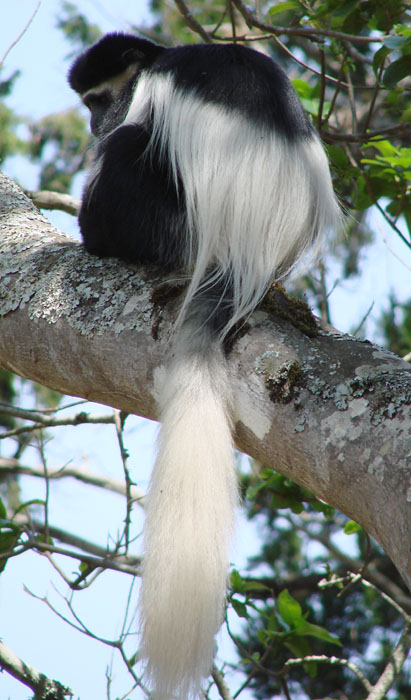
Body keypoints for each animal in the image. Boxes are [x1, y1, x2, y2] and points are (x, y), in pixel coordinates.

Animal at [70, 35, 342, 700]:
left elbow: (134, 138)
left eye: (99, 99)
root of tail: (244, 260)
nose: (92, 123)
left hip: (173, 224)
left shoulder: (146, 96)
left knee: (131, 152)